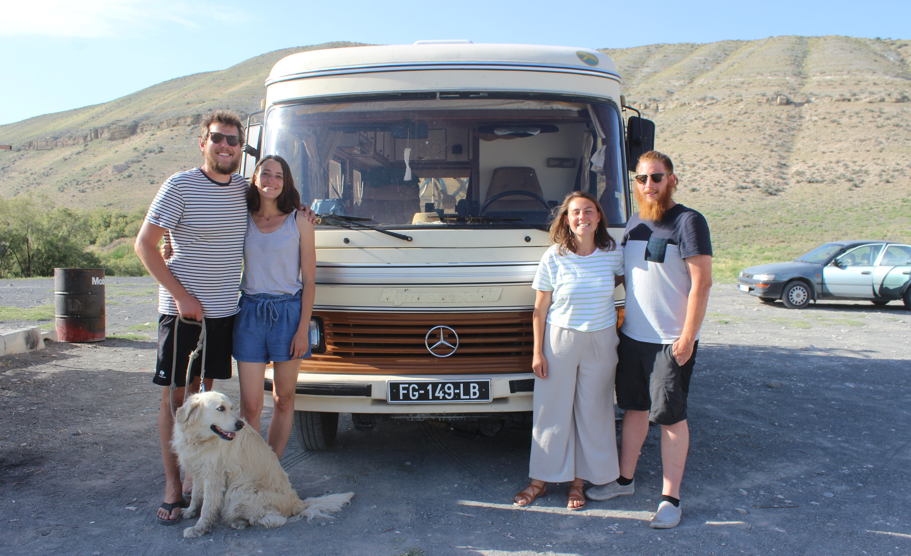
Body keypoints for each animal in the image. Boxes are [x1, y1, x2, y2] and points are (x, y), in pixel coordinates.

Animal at [173, 390, 354, 540]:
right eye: (220, 409)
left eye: (231, 408)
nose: (240, 424)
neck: (200, 439)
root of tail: (297, 501)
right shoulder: (198, 471)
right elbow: (196, 496)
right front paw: (190, 511)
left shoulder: (214, 478)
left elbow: (207, 506)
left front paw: (198, 528)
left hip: (239, 490)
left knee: (276, 518)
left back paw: (240, 521)